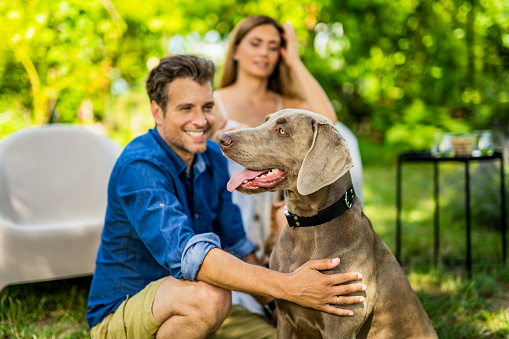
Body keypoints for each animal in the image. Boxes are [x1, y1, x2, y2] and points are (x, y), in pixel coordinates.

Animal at [218, 110, 436, 339]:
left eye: (282, 131)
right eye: (265, 121)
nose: (222, 138)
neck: (308, 226)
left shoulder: (339, 328)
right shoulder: (284, 318)